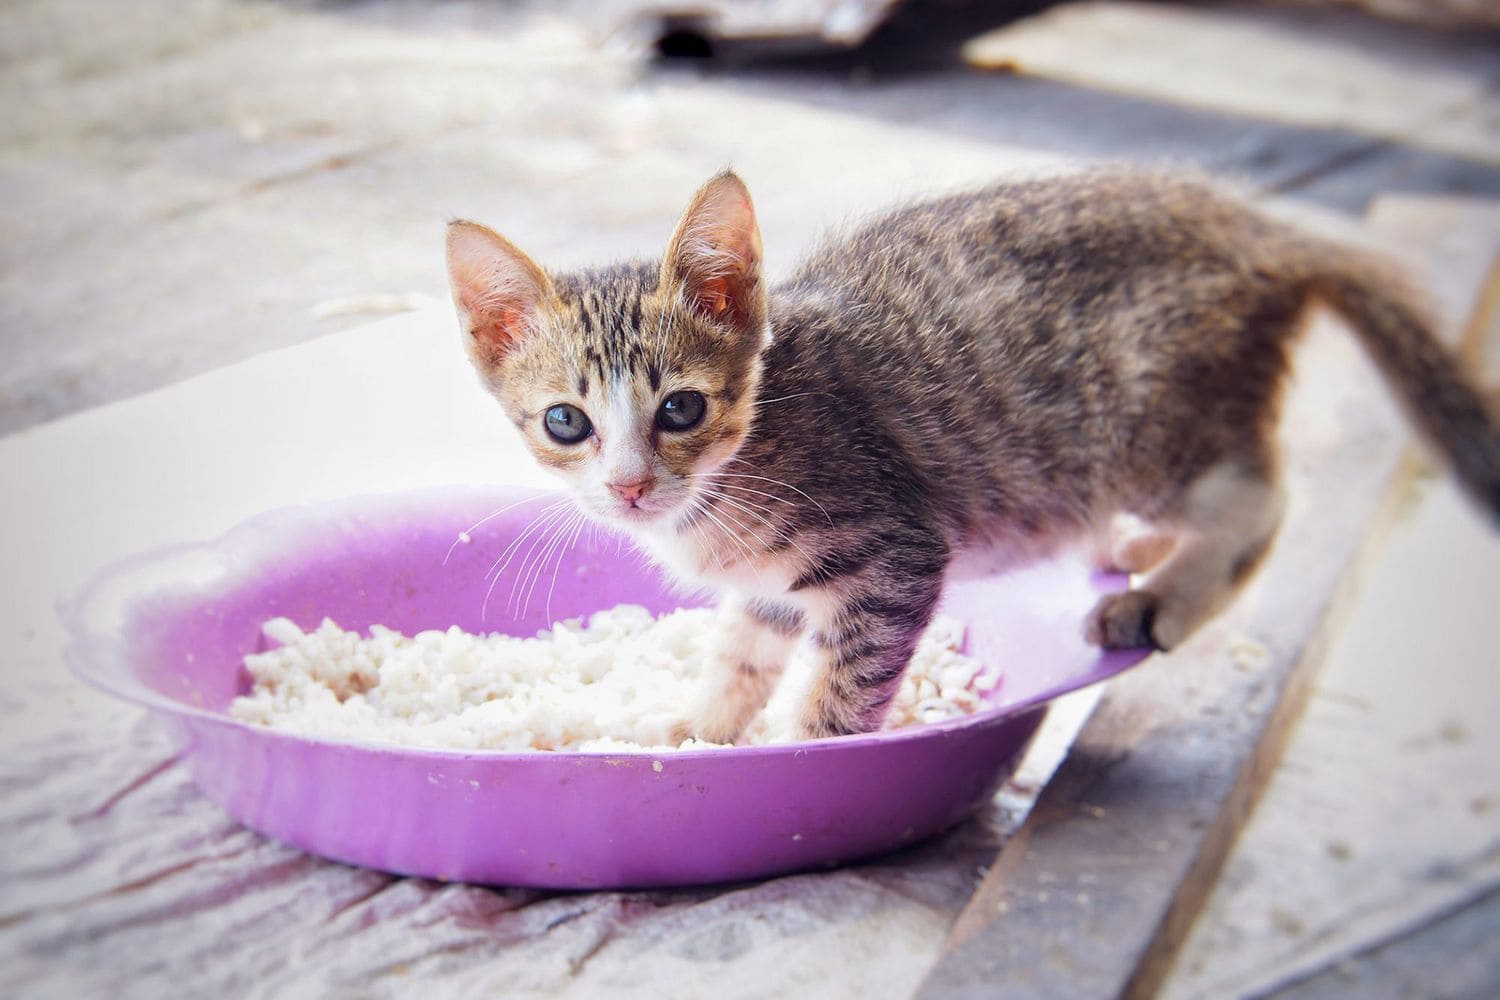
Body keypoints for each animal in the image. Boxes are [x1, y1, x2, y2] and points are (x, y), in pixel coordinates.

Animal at [441, 166, 1500, 743]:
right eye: (565, 422)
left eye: (682, 407)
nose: (627, 487)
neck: (735, 473)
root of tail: (1246, 225)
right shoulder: (768, 588)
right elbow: (742, 653)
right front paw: (703, 730)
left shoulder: (892, 548)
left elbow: (844, 685)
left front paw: (813, 752)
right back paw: (1136, 552)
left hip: (1147, 426)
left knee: (1262, 504)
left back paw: (1162, 593)